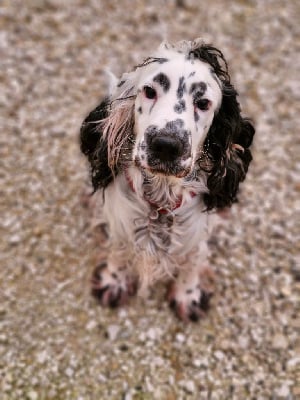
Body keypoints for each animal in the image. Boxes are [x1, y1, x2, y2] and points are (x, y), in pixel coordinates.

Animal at [81, 38, 254, 322]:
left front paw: (188, 295)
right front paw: (113, 282)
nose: (166, 145)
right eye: (149, 91)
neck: (160, 203)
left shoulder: (196, 235)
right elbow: (119, 251)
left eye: (203, 103)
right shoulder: (121, 226)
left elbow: (193, 261)